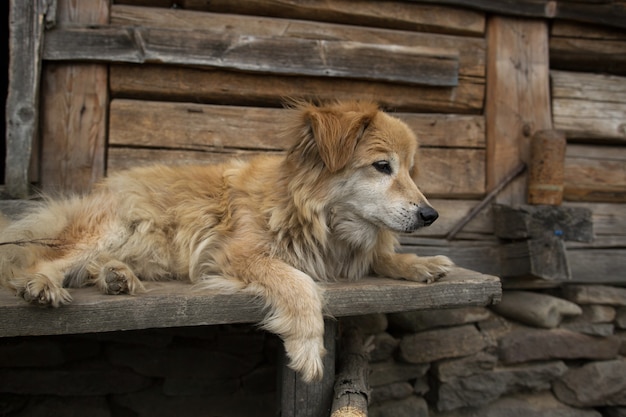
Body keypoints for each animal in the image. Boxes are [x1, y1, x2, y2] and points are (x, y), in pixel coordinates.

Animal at [0, 100, 448, 380]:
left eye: (410, 170)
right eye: (382, 166)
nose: (431, 215)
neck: (324, 221)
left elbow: (379, 256)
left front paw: (420, 264)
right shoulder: (236, 253)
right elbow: (299, 283)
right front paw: (307, 345)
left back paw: (116, 276)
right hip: (111, 226)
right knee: (45, 258)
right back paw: (42, 284)